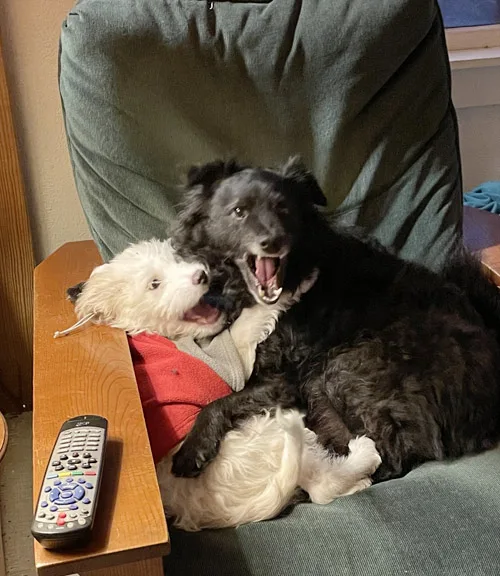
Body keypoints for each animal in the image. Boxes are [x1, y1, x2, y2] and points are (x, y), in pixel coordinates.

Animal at [64, 238, 380, 532]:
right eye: (154, 283)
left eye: (178, 260)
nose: (202, 275)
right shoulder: (230, 360)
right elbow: (252, 319)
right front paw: (299, 281)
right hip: (269, 430)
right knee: (323, 484)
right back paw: (363, 455)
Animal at [171, 158, 500, 482]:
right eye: (239, 211)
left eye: (284, 209)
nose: (274, 241)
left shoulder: (283, 380)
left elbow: (219, 402)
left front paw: (192, 449)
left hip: (343, 366)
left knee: (385, 457)